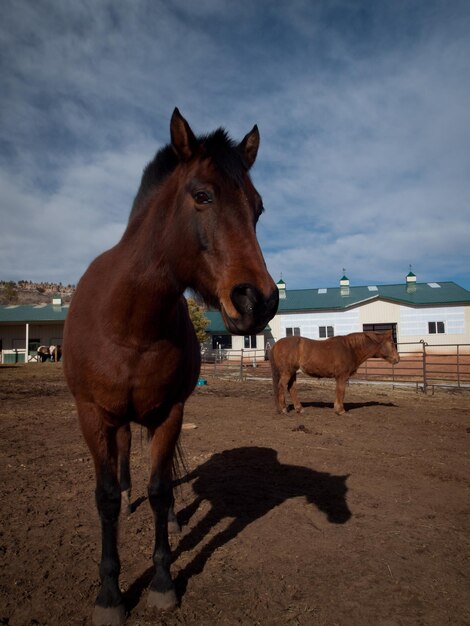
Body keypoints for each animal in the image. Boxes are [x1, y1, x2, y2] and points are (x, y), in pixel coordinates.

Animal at [61, 109, 278, 620]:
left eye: (258, 208)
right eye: (201, 195)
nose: (258, 300)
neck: (130, 322)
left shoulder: (169, 415)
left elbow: (160, 489)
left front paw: (162, 581)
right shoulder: (92, 415)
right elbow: (104, 499)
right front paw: (110, 593)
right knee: (122, 459)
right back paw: (126, 494)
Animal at [270, 332, 398, 414]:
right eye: (392, 343)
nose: (397, 359)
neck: (350, 348)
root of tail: (276, 345)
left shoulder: (339, 377)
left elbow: (338, 391)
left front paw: (336, 407)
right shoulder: (342, 376)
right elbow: (341, 391)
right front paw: (340, 410)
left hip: (292, 373)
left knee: (291, 388)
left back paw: (299, 409)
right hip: (287, 372)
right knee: (281, 386)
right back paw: (283, 409)